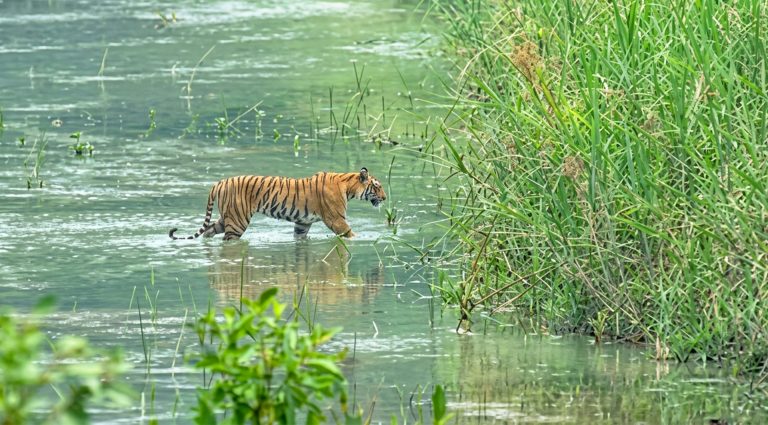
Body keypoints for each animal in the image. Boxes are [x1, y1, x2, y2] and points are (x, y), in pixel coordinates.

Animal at [169, 167, 386, 241]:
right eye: (378, 186)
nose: (385, 198)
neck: (348, 186)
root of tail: (218, 182)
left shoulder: (302, 223)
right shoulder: (337, 220)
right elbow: (351, 234)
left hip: (228, 217)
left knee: (209, 230)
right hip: (237, 221)